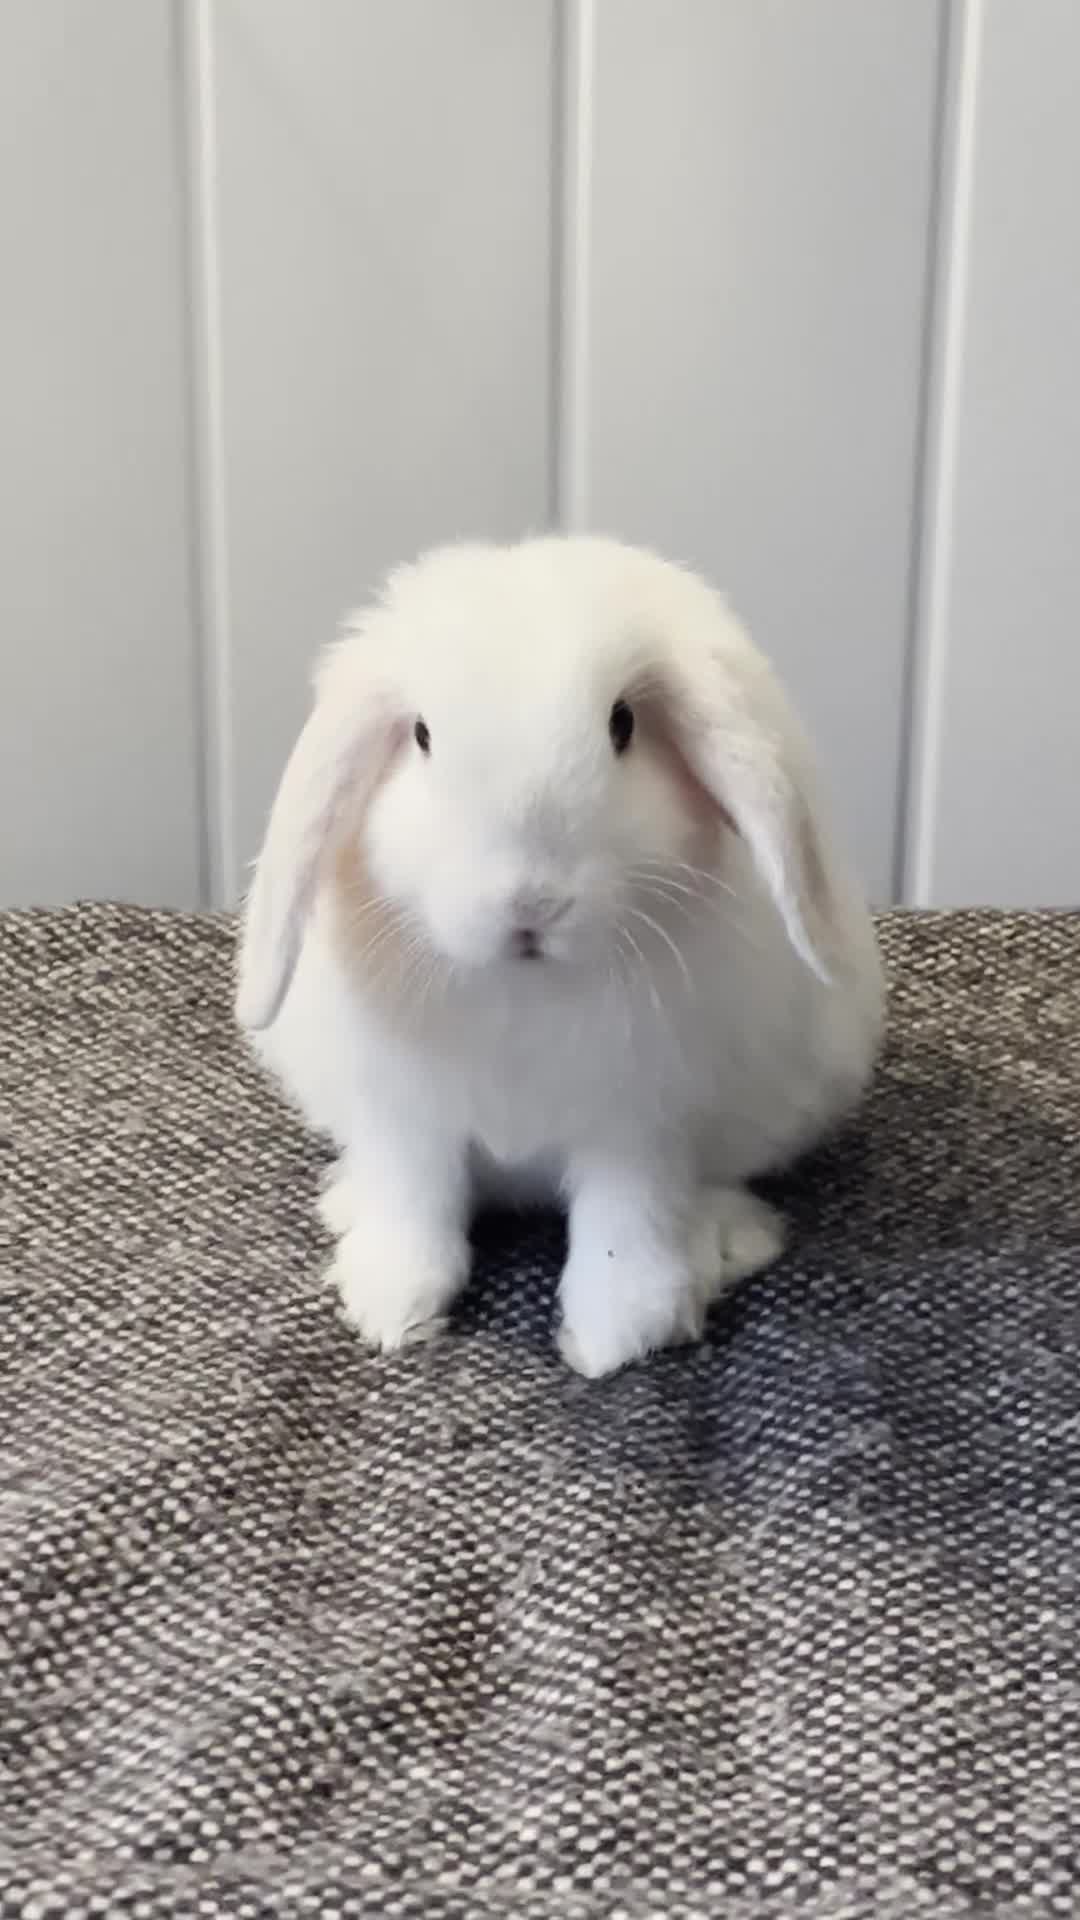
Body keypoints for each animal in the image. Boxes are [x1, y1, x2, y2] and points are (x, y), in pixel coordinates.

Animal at [236, 536, 883, 1378]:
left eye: (623, 724)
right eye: (422, 737)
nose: (529, 904)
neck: (525, 986)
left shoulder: (640, 1123)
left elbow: (626, 1221)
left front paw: (613, 1339)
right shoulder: (408, 1117)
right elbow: (416, 1205)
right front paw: (392, 1310)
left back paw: (727, 1239)